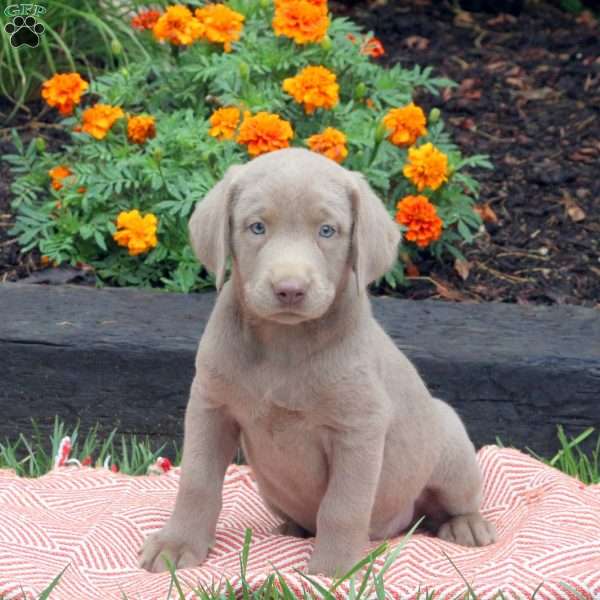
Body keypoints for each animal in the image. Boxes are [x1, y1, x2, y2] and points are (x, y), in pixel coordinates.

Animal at [138, 145, 494, 576]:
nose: (289, 289)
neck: (283, 344)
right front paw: (177, 544)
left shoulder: (359, 429)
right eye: (257, 227)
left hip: (452, 444)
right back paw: (289, 528)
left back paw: (466, 526)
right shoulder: (210, 407)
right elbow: (196, 481)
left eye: (327, 231)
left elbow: (343, 506)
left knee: (455, 502)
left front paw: (333, 570)